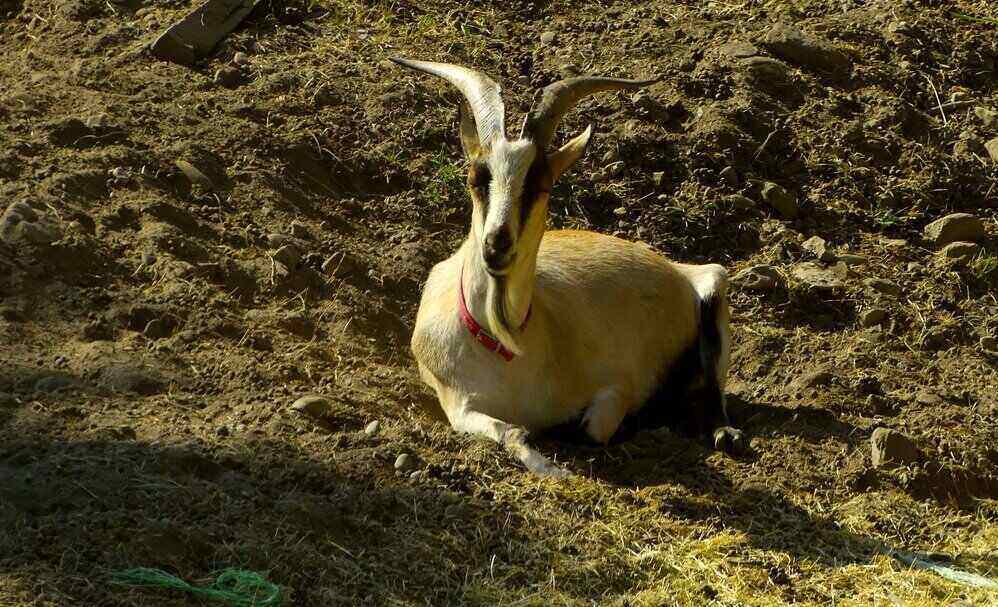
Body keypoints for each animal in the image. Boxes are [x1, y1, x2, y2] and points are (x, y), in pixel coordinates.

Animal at [394, 58, 744, 477]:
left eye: (539, 185)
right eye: (476, 178)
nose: (497, 245)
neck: (503, 344)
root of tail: (679, 272)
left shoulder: (617, 385)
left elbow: (591, 427)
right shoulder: (458, 406)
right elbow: (514, 432)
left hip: (714, 285)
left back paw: (724, 433)